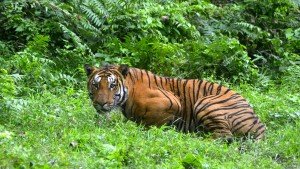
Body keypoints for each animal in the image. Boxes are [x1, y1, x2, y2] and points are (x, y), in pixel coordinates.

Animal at [84, 64, 264, 141]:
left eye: (112, 85)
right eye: (96, 84)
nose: (100, 103)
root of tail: (261, 126)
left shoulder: (172, 102)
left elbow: (149, 123)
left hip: (206, 102)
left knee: (224, 137)